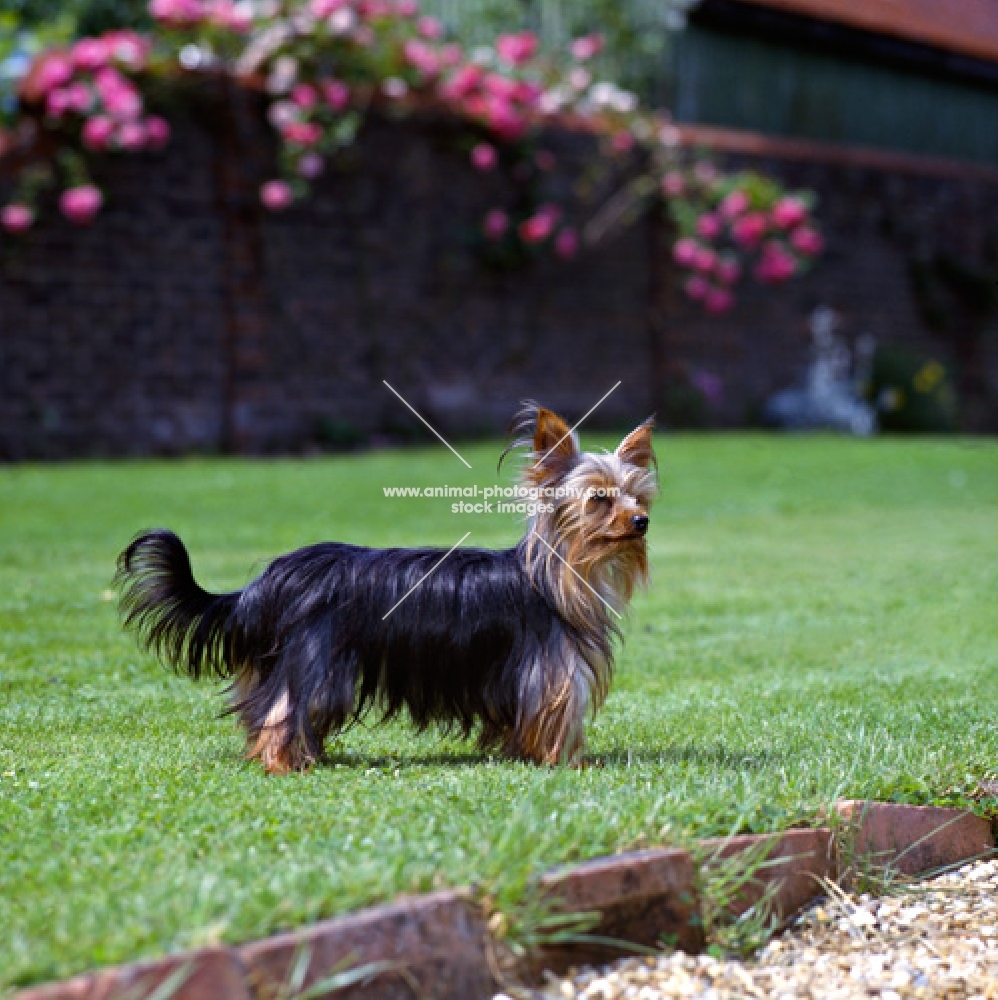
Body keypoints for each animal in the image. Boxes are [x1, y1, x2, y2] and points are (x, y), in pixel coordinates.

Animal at [117, 404, 656, 772]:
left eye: (639, 497)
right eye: (599, 499)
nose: (642, 521)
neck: (558, 574)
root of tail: (276, 577)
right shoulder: (548, 671)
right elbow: (554, 716)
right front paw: (566, 761)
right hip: (319, 660)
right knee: (286, 709)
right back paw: (283, 762)